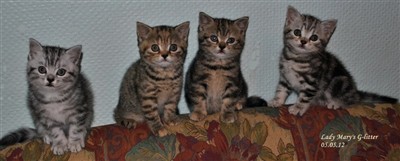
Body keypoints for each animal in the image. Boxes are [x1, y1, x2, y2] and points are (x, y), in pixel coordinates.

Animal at [268, 5, 396, 115]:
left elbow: (304, 97)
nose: (303, 41)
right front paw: (276, 101)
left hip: (338, 81)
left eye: (314, 37)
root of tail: (355, 92)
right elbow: (281, 89)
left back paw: (336, 103)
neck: (296, 58)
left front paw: (298, 108)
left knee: (352, 101)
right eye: (297, 32)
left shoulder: (312, 82)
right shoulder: (285, 77)